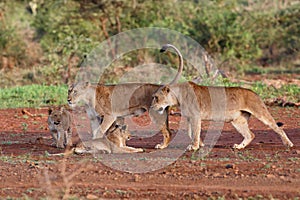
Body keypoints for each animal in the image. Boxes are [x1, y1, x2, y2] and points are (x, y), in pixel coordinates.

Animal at [151, 81, 294, 150]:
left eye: (156, 98)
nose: (151, 107)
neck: (178, 96)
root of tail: (254, 92)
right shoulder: (189, 117)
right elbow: (191, 133)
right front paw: (200, 144)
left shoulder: (195, 116)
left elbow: (195, 132)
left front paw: (195, 147)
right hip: (237, 121)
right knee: (250, 135)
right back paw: (239, 147)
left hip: (260, 112)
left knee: (279, 128)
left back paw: (289, 144)